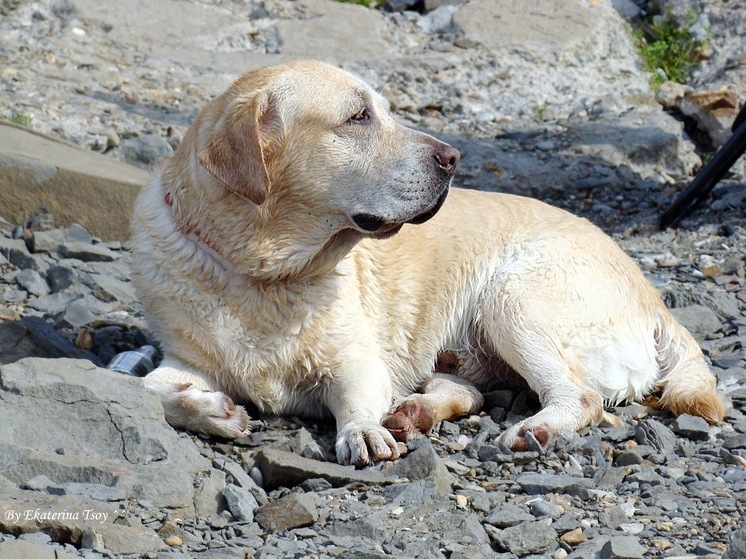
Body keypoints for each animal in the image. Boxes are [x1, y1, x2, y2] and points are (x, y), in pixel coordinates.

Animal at [131, 60, 724, 468]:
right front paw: (212, 411)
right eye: (358, 117)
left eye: (384, 111)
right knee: (468, 390)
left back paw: (532, 430)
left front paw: (362, 432)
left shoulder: (358, 362)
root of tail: (658, 303)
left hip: (514, 296)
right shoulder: (185, 358)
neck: (264, 271)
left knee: (581, 397)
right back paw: (416, 413)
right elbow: (144, 387)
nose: (452, 158)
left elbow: (355, 401)